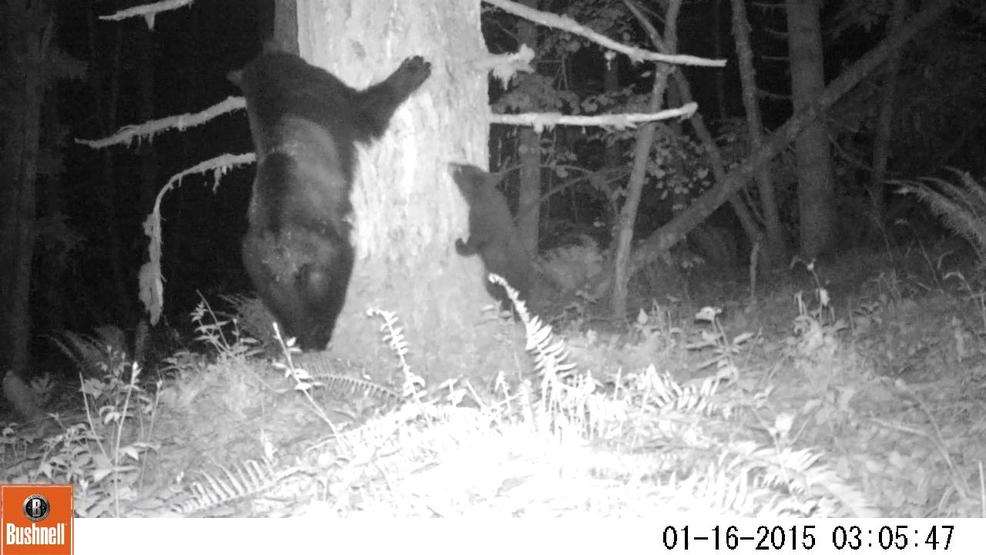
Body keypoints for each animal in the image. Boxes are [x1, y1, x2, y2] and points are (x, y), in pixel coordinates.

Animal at [229, 51, 430, 351]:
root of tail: (280, 246)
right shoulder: (331, 96)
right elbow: (366, 109)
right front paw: (412, 70)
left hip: (260, 273)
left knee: (285, 310)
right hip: (325, 255)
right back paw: (320, 336)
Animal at [450, 163, 534, 312]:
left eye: (461, 169)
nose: (449, 164)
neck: (486, 195)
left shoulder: (481, 217)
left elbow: (475, 240)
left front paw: (459, 244)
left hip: (499, 281)